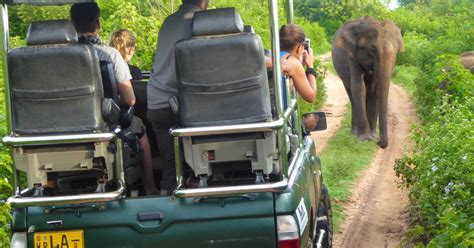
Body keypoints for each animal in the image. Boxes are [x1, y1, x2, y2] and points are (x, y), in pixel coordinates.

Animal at [334, 16, 404, 148]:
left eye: (396, 51)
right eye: (373, 49)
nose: (378, 142)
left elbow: (373, 89)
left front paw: (373, 136)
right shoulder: (351, 54)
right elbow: (358, 87)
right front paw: (365, 139)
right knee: (351, 94)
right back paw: (354, 133)